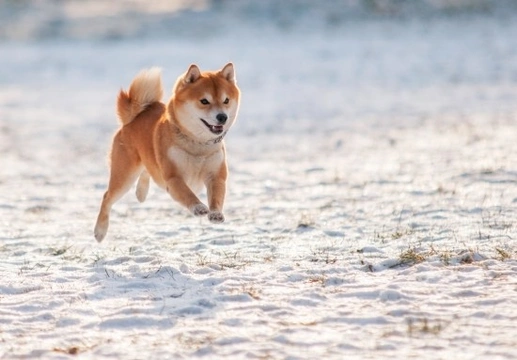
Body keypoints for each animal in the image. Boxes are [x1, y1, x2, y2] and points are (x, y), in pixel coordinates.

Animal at [94, 62, 240, 242]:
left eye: (226, 100)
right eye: (204, 101)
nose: (222, 117)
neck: (198, 144)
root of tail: (133, 118)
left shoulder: (216, 175)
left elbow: (217, 197)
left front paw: (215, 214)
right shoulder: (173, 177)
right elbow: (187, 194)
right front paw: (198, 207)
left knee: (147, 171)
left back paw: (141, 192)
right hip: (125, 175)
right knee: (107, 197)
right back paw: (100, 230)